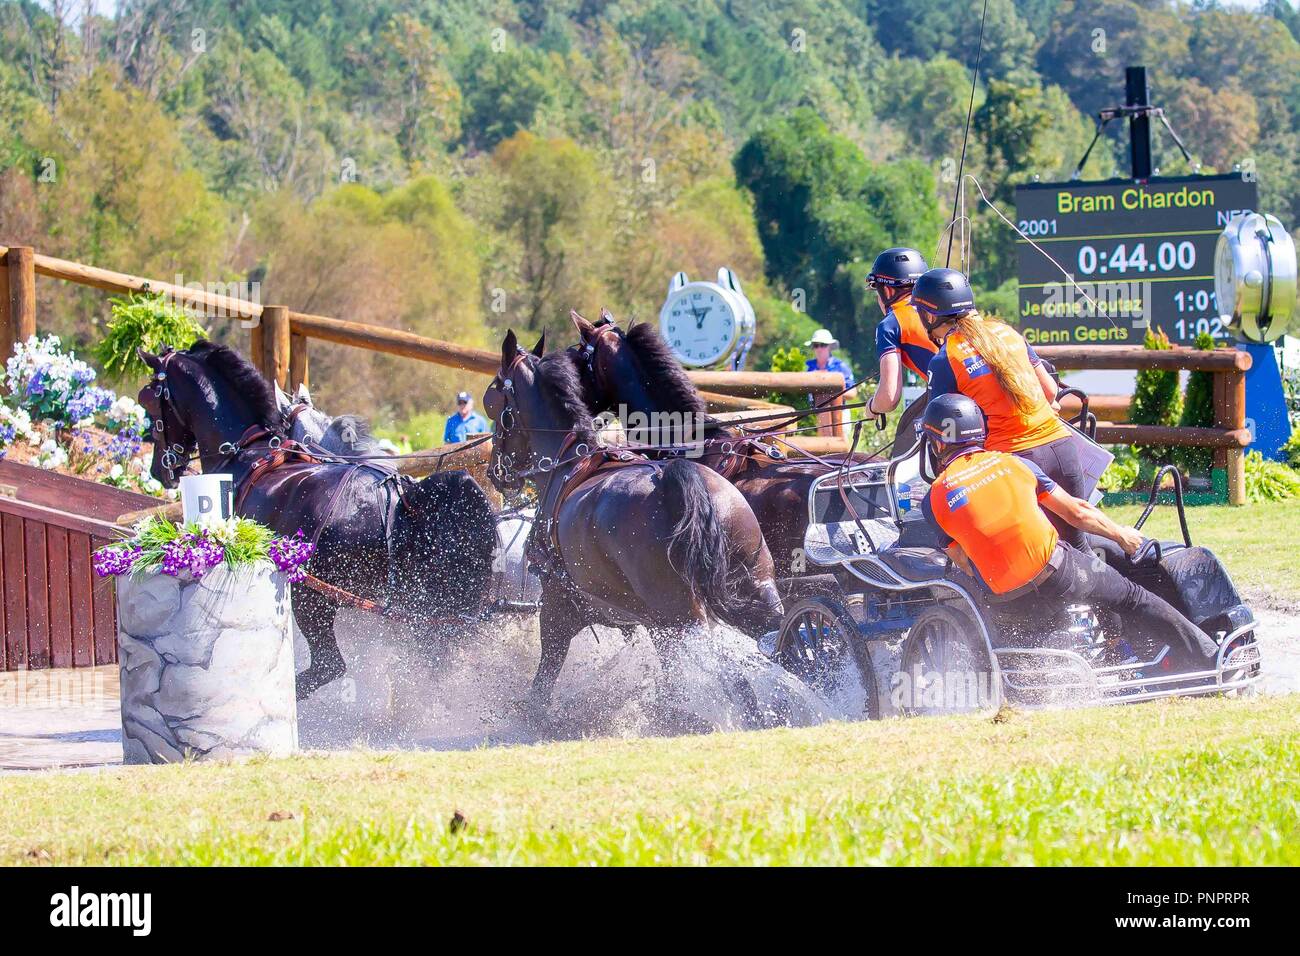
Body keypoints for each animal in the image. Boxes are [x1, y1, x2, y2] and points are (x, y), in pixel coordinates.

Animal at [134, 340, 493, 697]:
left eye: (148, 400)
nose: (160, 470)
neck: (245, 451)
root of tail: (402, 499)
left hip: (313, 600)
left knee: (329, 665)